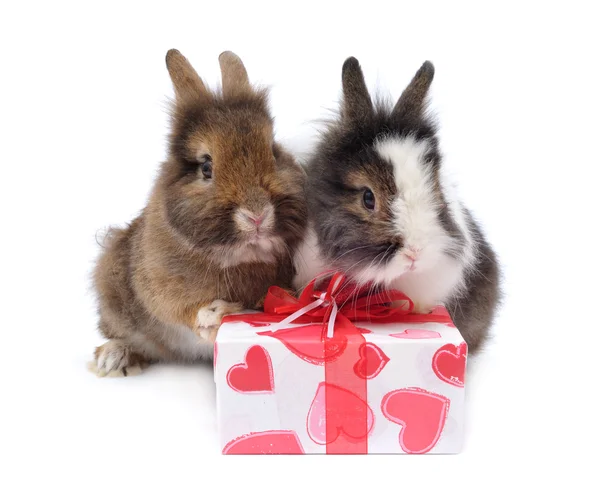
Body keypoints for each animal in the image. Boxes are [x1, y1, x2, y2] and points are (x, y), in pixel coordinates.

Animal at [91, 49, 308, 376]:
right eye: (206, 166)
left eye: (273, 151)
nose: (257, 215)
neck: (239, 254)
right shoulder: (163, 291)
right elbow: (183, 311)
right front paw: (214, 315)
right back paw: (114, 358)